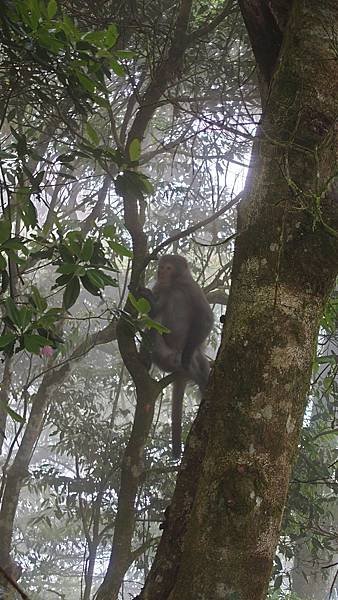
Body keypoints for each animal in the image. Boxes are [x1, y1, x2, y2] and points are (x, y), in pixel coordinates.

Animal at [139, 254, 213, 460]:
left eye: (168, 267)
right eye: (161, 266)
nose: (160, 271)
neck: (174, 285)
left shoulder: (191, 287)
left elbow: (206, 318)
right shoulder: (160, 287)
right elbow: (153, 312)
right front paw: (149, 301)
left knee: (199, 365)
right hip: (164, 356)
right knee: (155, 323)